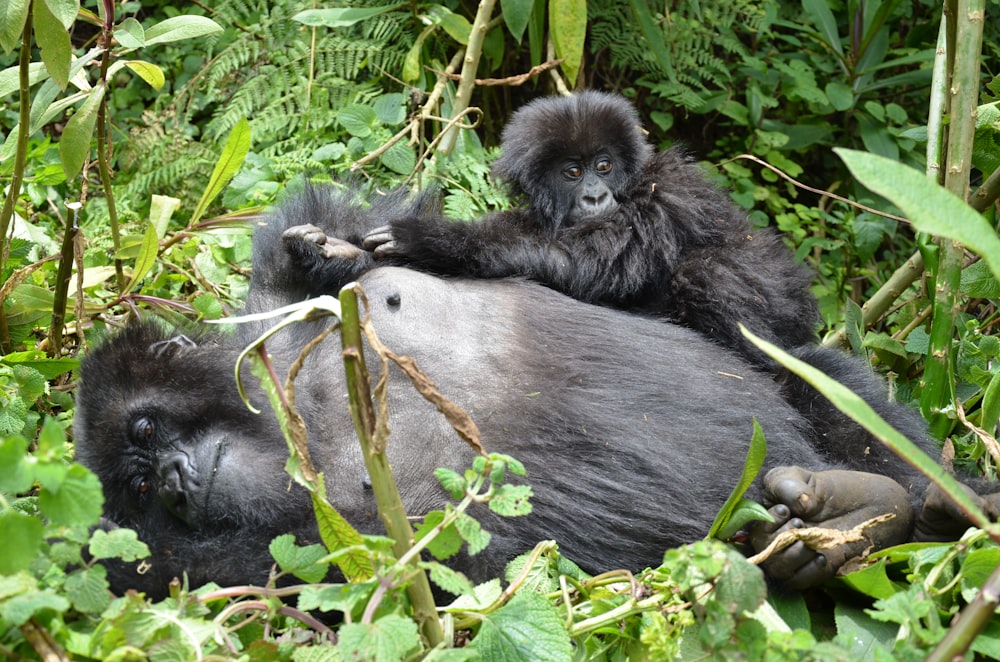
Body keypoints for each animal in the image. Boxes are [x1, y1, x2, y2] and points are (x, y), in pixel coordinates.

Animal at [76, 184, 936, 600]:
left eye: (146, 433)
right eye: (142, 486)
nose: (177, 480)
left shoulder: (280, 279)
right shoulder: (281, 543)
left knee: (812, 370)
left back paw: (889, 506)